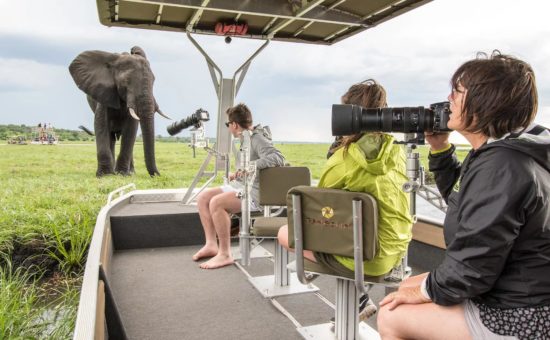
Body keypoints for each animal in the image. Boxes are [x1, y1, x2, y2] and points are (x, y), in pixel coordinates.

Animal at [70, 46, 171, 177]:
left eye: (153, 80)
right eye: (126, 81)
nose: (158, 175)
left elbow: (131, 128)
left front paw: (122, 174)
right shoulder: (104, 93)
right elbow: (100, 124)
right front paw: (104, 175)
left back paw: (130, 172)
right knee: (111, 138)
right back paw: (112, 172)